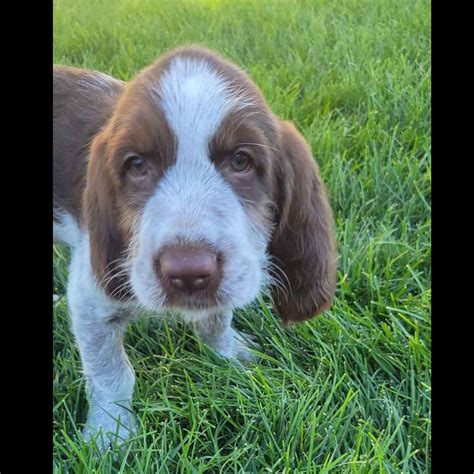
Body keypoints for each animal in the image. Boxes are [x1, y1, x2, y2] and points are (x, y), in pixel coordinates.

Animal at [52, 45, 336, 448]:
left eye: (241, 161)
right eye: (136, 165)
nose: (187, 272)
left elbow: (217, 319)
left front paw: (228, 352)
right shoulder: (94, 295)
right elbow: (110, 372)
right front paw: (111, 431)